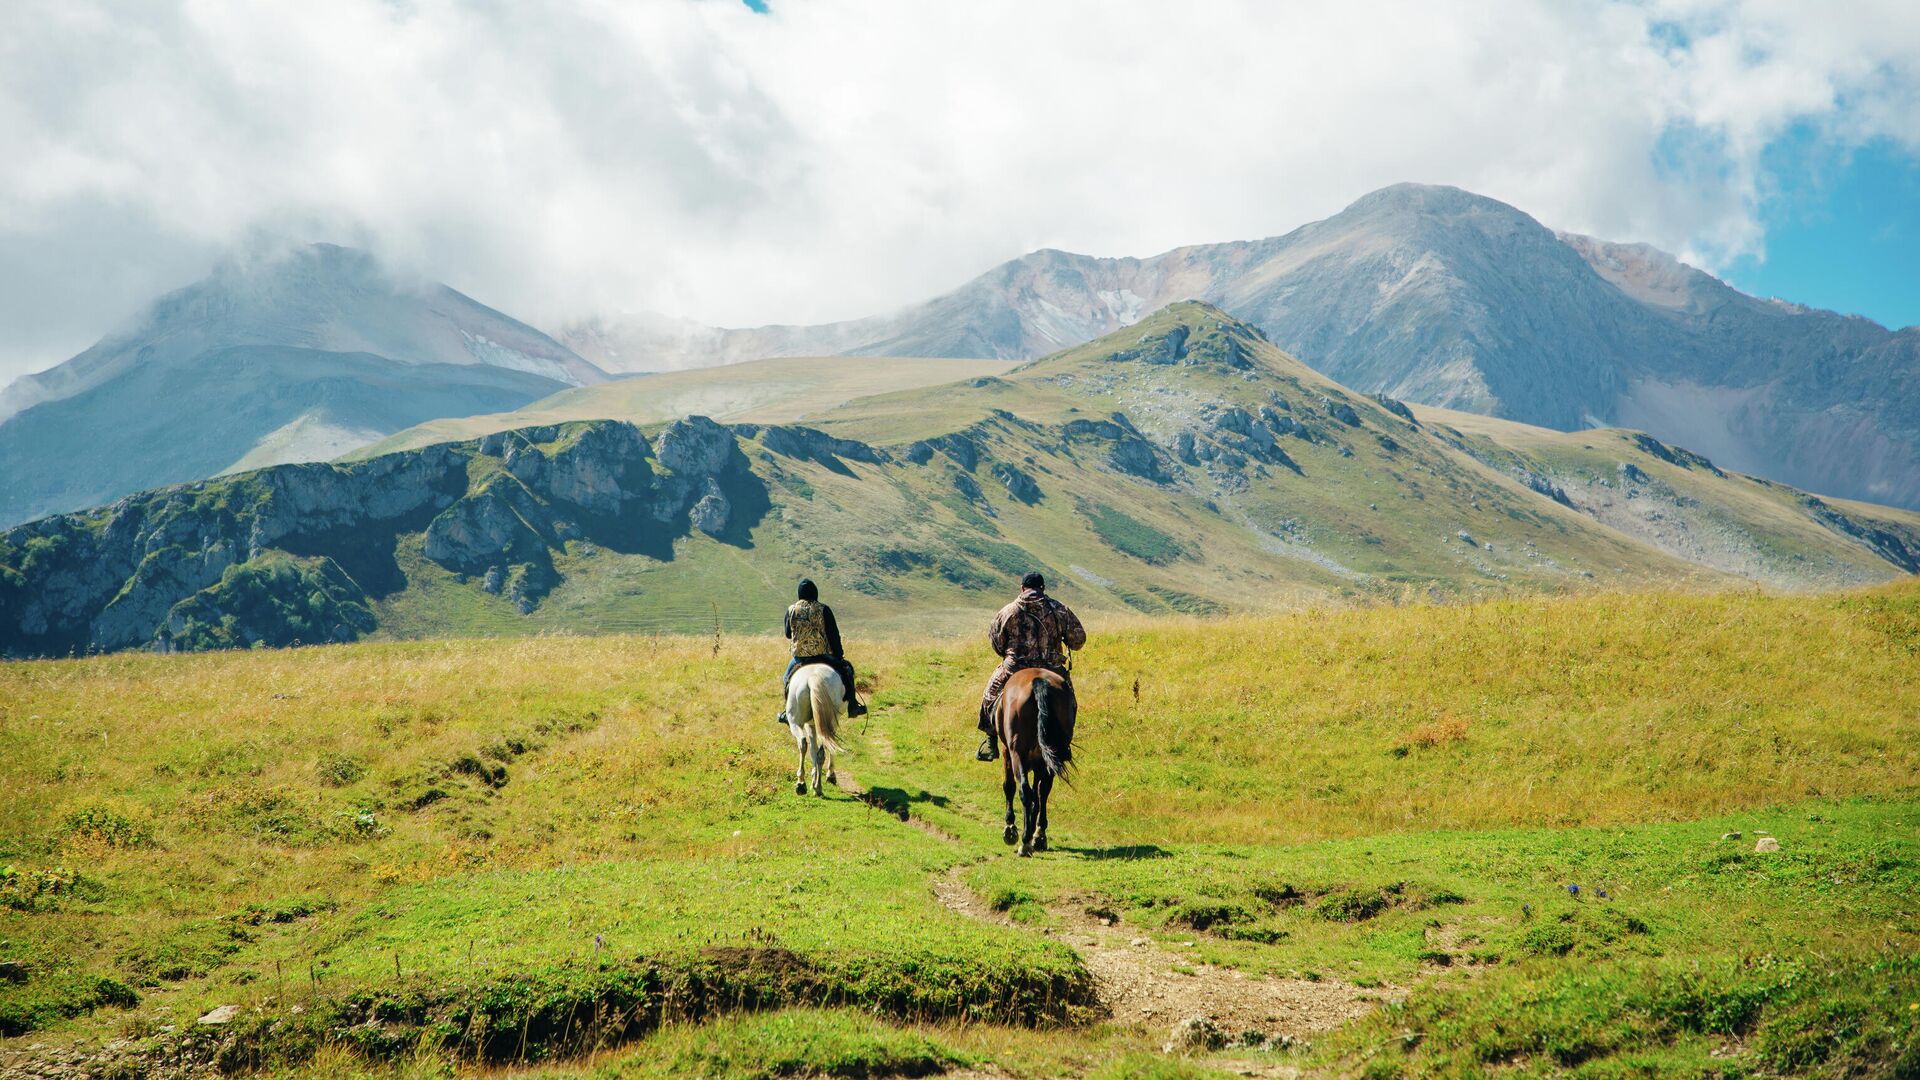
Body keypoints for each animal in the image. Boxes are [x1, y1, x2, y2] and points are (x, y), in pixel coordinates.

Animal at [783, 661, 844, 795]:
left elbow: (813, 750)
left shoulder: (810, 725)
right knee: (821, 751)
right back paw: (817, 787)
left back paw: (801, 784)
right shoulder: (815, 725)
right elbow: (816, 750)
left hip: (795, 722)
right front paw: (826, 777)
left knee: (803, 743)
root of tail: (813, 677)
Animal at [998, 668, 1075, 853]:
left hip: (1016, 752)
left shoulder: (1007, 751)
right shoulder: (1040, 763)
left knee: (1024, 790)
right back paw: (1038, 836)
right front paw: (1035, 830)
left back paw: (1024, 841)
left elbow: (1009, 786)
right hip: (1051, 754)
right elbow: (1038, 796)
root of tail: (1039, 682)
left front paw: (1010, 827)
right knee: (1043, 791)